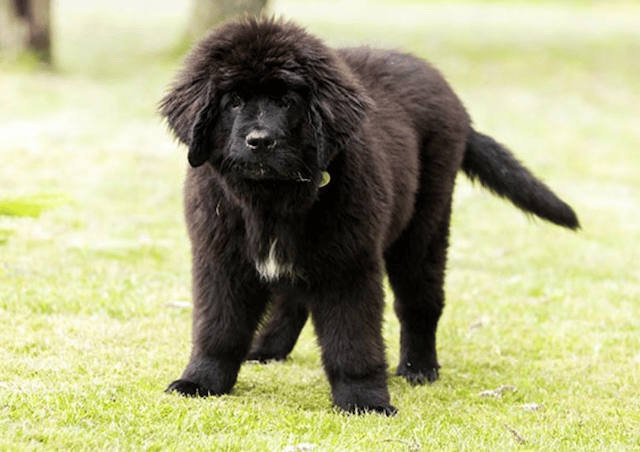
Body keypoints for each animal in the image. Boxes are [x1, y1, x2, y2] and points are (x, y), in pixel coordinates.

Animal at [161, 16, 580, 414]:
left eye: (287, 101)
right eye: (233, 100)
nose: (260, 141)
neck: (272, 200)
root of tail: (456, 103)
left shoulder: (350, 263)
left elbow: (353, 340)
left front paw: (364, 400)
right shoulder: (221, 259)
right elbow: (218, 328)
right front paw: (200, 382)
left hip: (424, 226)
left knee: (420, 301)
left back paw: (419, 368)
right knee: (293, 299)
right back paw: (267, 349)